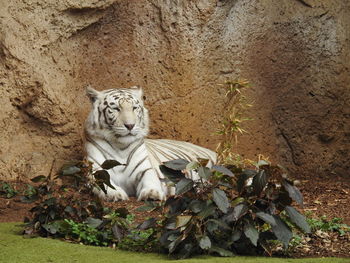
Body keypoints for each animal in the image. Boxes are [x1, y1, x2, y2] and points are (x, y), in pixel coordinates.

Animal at [85, 85, 216, 201]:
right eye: (116, 109)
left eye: (134, 108)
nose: (130, 125)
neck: (120, 146)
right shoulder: (95, 170)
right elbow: (103, 183)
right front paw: (115, 194)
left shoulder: (145, 169)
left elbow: (150, 179)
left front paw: (152, 194)